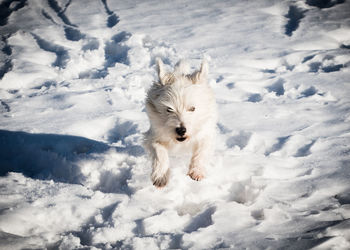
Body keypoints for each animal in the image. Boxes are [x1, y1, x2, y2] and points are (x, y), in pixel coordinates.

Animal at [144, 58, 216, 188]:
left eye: (192, 108)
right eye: (169, 109)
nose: (181, 130)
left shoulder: (206, 133)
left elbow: (201, 151)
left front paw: (196, 171)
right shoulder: (153, 136)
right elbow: (159, 152)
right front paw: (160, 176)